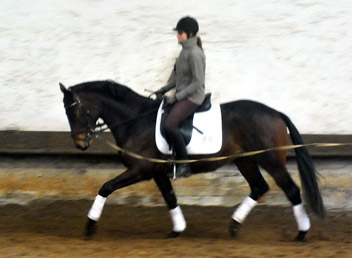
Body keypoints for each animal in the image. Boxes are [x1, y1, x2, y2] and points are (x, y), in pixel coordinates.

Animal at [59, 80, 324, 242]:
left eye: (74, 111)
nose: (80, 144)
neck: (136, 120)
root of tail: (275, 113)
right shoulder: (157, 172)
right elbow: (170, 198)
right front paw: (178, 230)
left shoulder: (141, 169)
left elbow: (105, 188)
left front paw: (90, 226)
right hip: (245, 161)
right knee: (259, 187)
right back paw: (234, 225)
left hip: (271, 161)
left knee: (291, 190)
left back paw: (301, 233)